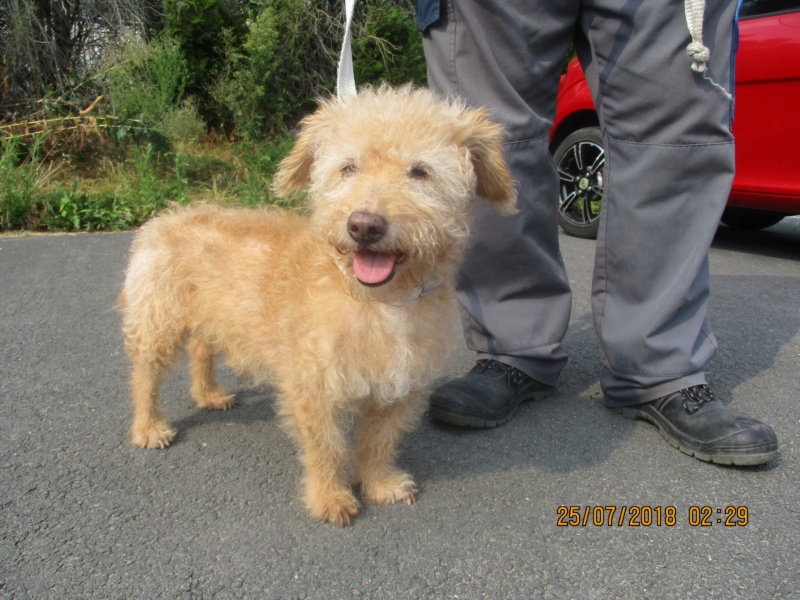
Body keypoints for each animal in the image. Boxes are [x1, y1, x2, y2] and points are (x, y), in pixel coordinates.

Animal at [121, 85, 516, 524]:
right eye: (348, 168)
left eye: (420, 171)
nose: (364, 225)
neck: (377, 302)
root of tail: (169, 216)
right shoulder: (312, 386)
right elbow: (327, 447)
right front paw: (330, 498)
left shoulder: (400, 386)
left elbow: (379, 440)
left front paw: (380, 484)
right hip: (158, 321)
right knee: (145, 376)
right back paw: (149, 427)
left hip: (212, 317)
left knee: (201, 349)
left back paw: (208, 394)